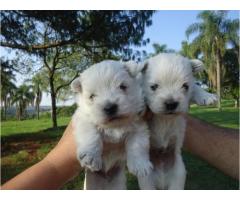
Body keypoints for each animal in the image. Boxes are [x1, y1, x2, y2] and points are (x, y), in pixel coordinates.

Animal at [70, 59, 152, 189]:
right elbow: (90, 134)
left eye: (122, 86)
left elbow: (138, 145)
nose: (110, 108)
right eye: (92, 96)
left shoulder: (139, 126)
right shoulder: (83, 118)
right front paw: (91, 156)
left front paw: (140, 165)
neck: (115, 125)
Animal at [137, 53, 218, 189]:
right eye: (153, 87)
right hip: (146, 180)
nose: (171, 104)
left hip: (178, 175)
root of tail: (162, 181)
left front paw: (207, 96)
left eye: (185, 86)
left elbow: (195, 87)